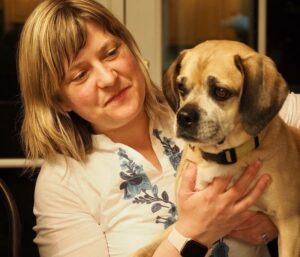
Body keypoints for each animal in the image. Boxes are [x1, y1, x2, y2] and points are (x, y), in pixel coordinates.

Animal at [133, 40, 300, 257]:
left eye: (221, 92)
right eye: (181, 87)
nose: (183, 116)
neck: (220, 156)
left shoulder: (289, 223)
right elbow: (146, 249)